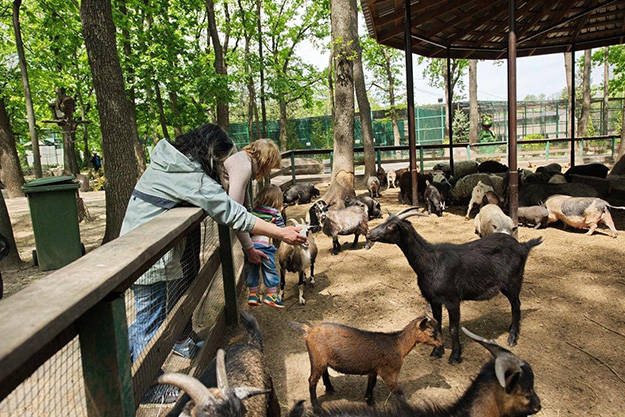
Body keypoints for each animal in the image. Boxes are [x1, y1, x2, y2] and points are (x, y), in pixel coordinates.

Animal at [290, 312, 442, 406]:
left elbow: (371, 383)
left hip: (322, 359)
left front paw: (369, 400)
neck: (397, 345)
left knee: (324, 373)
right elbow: (399, 392)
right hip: (317, 359)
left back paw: (330, 389)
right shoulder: (388, 373)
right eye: (432, 332)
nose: (442, 344)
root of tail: (309, 330)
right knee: (312, 380)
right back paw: (316, 407)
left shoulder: (374, 369)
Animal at [366, 206, 540, 362]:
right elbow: (437, 324)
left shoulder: (453, 299)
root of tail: (523, 246)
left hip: (513, 281)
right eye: (386, 221)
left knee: (516, 305)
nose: (369, 233)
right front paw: (437, 351)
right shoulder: (434, 300)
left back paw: (513, 337)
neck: (432, 263)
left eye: (392, 226)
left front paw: (455, 355)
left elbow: (453, 328)